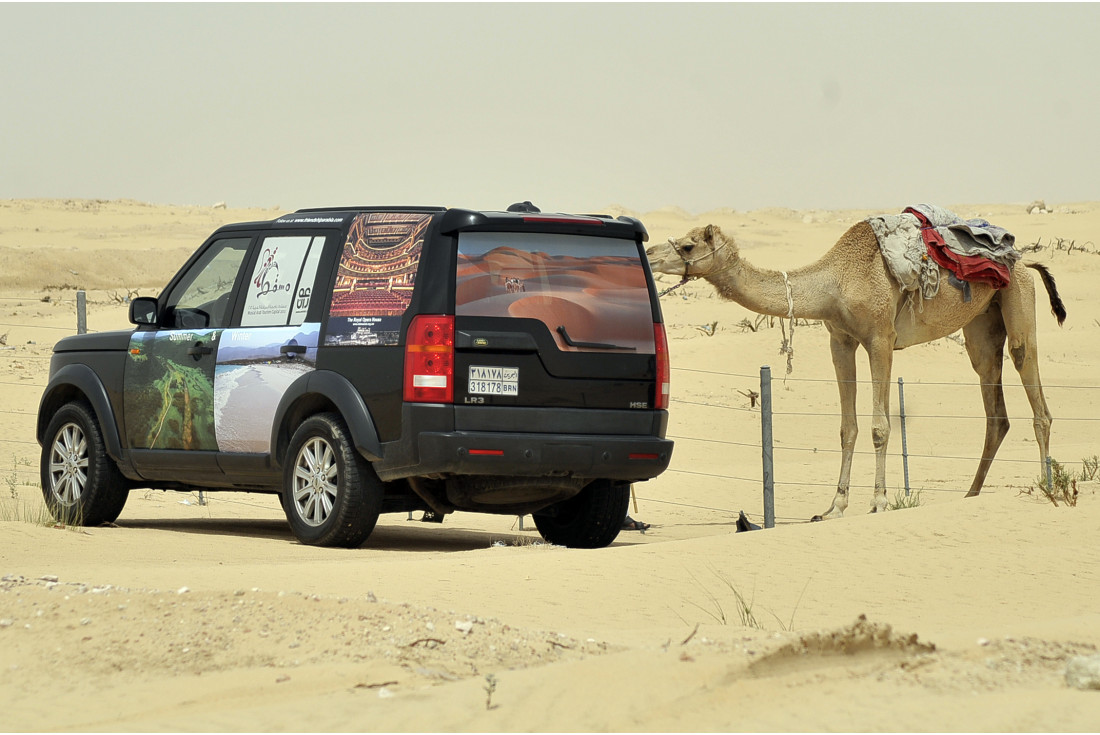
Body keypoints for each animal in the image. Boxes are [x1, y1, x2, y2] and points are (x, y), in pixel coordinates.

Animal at [646, 219, 1066, 518]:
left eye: (688, 244)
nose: (649, 253)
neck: (833, 283)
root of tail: (1023, 260)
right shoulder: (840, 341)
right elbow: (847, 428)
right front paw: (834, 506)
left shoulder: (880, 338)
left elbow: (880, 426)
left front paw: (879, 502)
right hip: (980, 326)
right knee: (995, 408)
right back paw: (971, 493)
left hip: (1018, 300)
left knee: (1035, 393)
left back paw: (1048, 485)